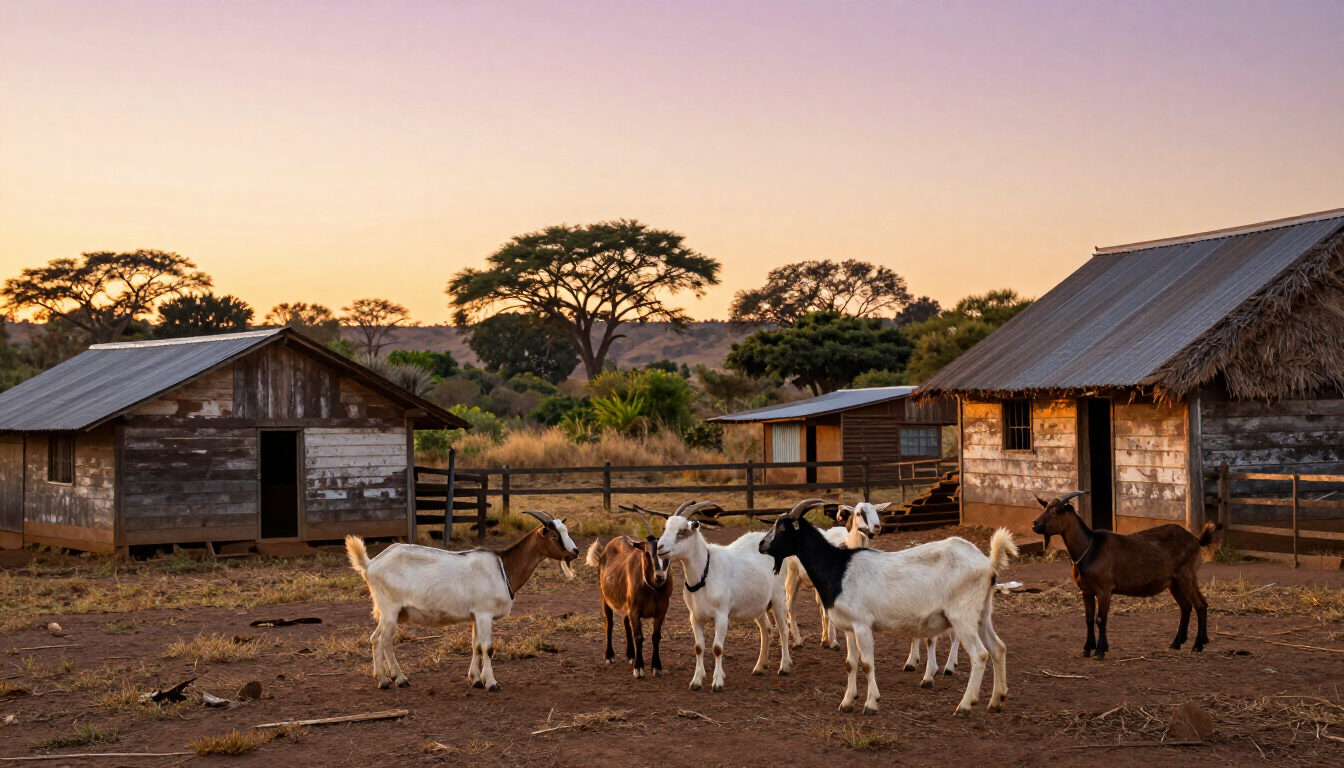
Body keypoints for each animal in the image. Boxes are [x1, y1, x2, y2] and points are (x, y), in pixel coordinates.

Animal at [346, 509, 578, 691]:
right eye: (554, 536)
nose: (575, 552)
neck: (503, 567)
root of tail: (370, 564)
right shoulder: (484, 613)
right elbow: (487, 647)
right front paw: (492, 683)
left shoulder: (476, 615)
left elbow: (475, 645)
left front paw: (475, 680)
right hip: (390, 608)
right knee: (377, 639)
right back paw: (384, 681)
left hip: (392, 611)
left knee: (386, 641)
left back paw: (399, 679)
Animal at [585, 512, 672, 678]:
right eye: (647, 553)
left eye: (667, 553)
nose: (659, 576)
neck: (653, 589)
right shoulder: (635, 610)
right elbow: (638, 636)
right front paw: (639, 668)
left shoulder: (662, 610)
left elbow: (656, 636)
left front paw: (656, 667)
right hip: (605, 597)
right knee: (609, 623)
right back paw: (609, 656)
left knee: (625, 622)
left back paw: (631, 655)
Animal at [655, 500, 793, 692]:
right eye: (666, 527)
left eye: (682, 531)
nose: (659, 548)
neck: (705, 573)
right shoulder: (694, 617)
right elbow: (698, 647)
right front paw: (696, 681)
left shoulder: (721, 615)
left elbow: (717, 648)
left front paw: (718, 682)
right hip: (757, 603)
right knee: (766, 629)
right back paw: (759, 667)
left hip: (778, 596)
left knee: (783, 628)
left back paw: (784, 667)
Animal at [783, 501, 888, 649]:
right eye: (858, 513)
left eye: (876, 511)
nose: (877, 527)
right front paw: (830, 641)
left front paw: (830, 640)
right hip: (792, 576)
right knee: (789, 605)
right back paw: (797, 640)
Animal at [1032, 491, 1216, 660]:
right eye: (1045, 507)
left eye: (1056, 511)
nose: (1035, 523)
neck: (1090, 549)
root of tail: (1196, 540)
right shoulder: (1086, 590)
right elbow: (1089, 619)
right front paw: (1086, 649)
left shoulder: (1104, 590)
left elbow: (1101, 619)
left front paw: (1100, 651)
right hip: (1175, 581)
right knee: (1188, 606)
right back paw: (1177, 643)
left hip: (1186, 575)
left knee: (1199, 605)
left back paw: (1197, 645)